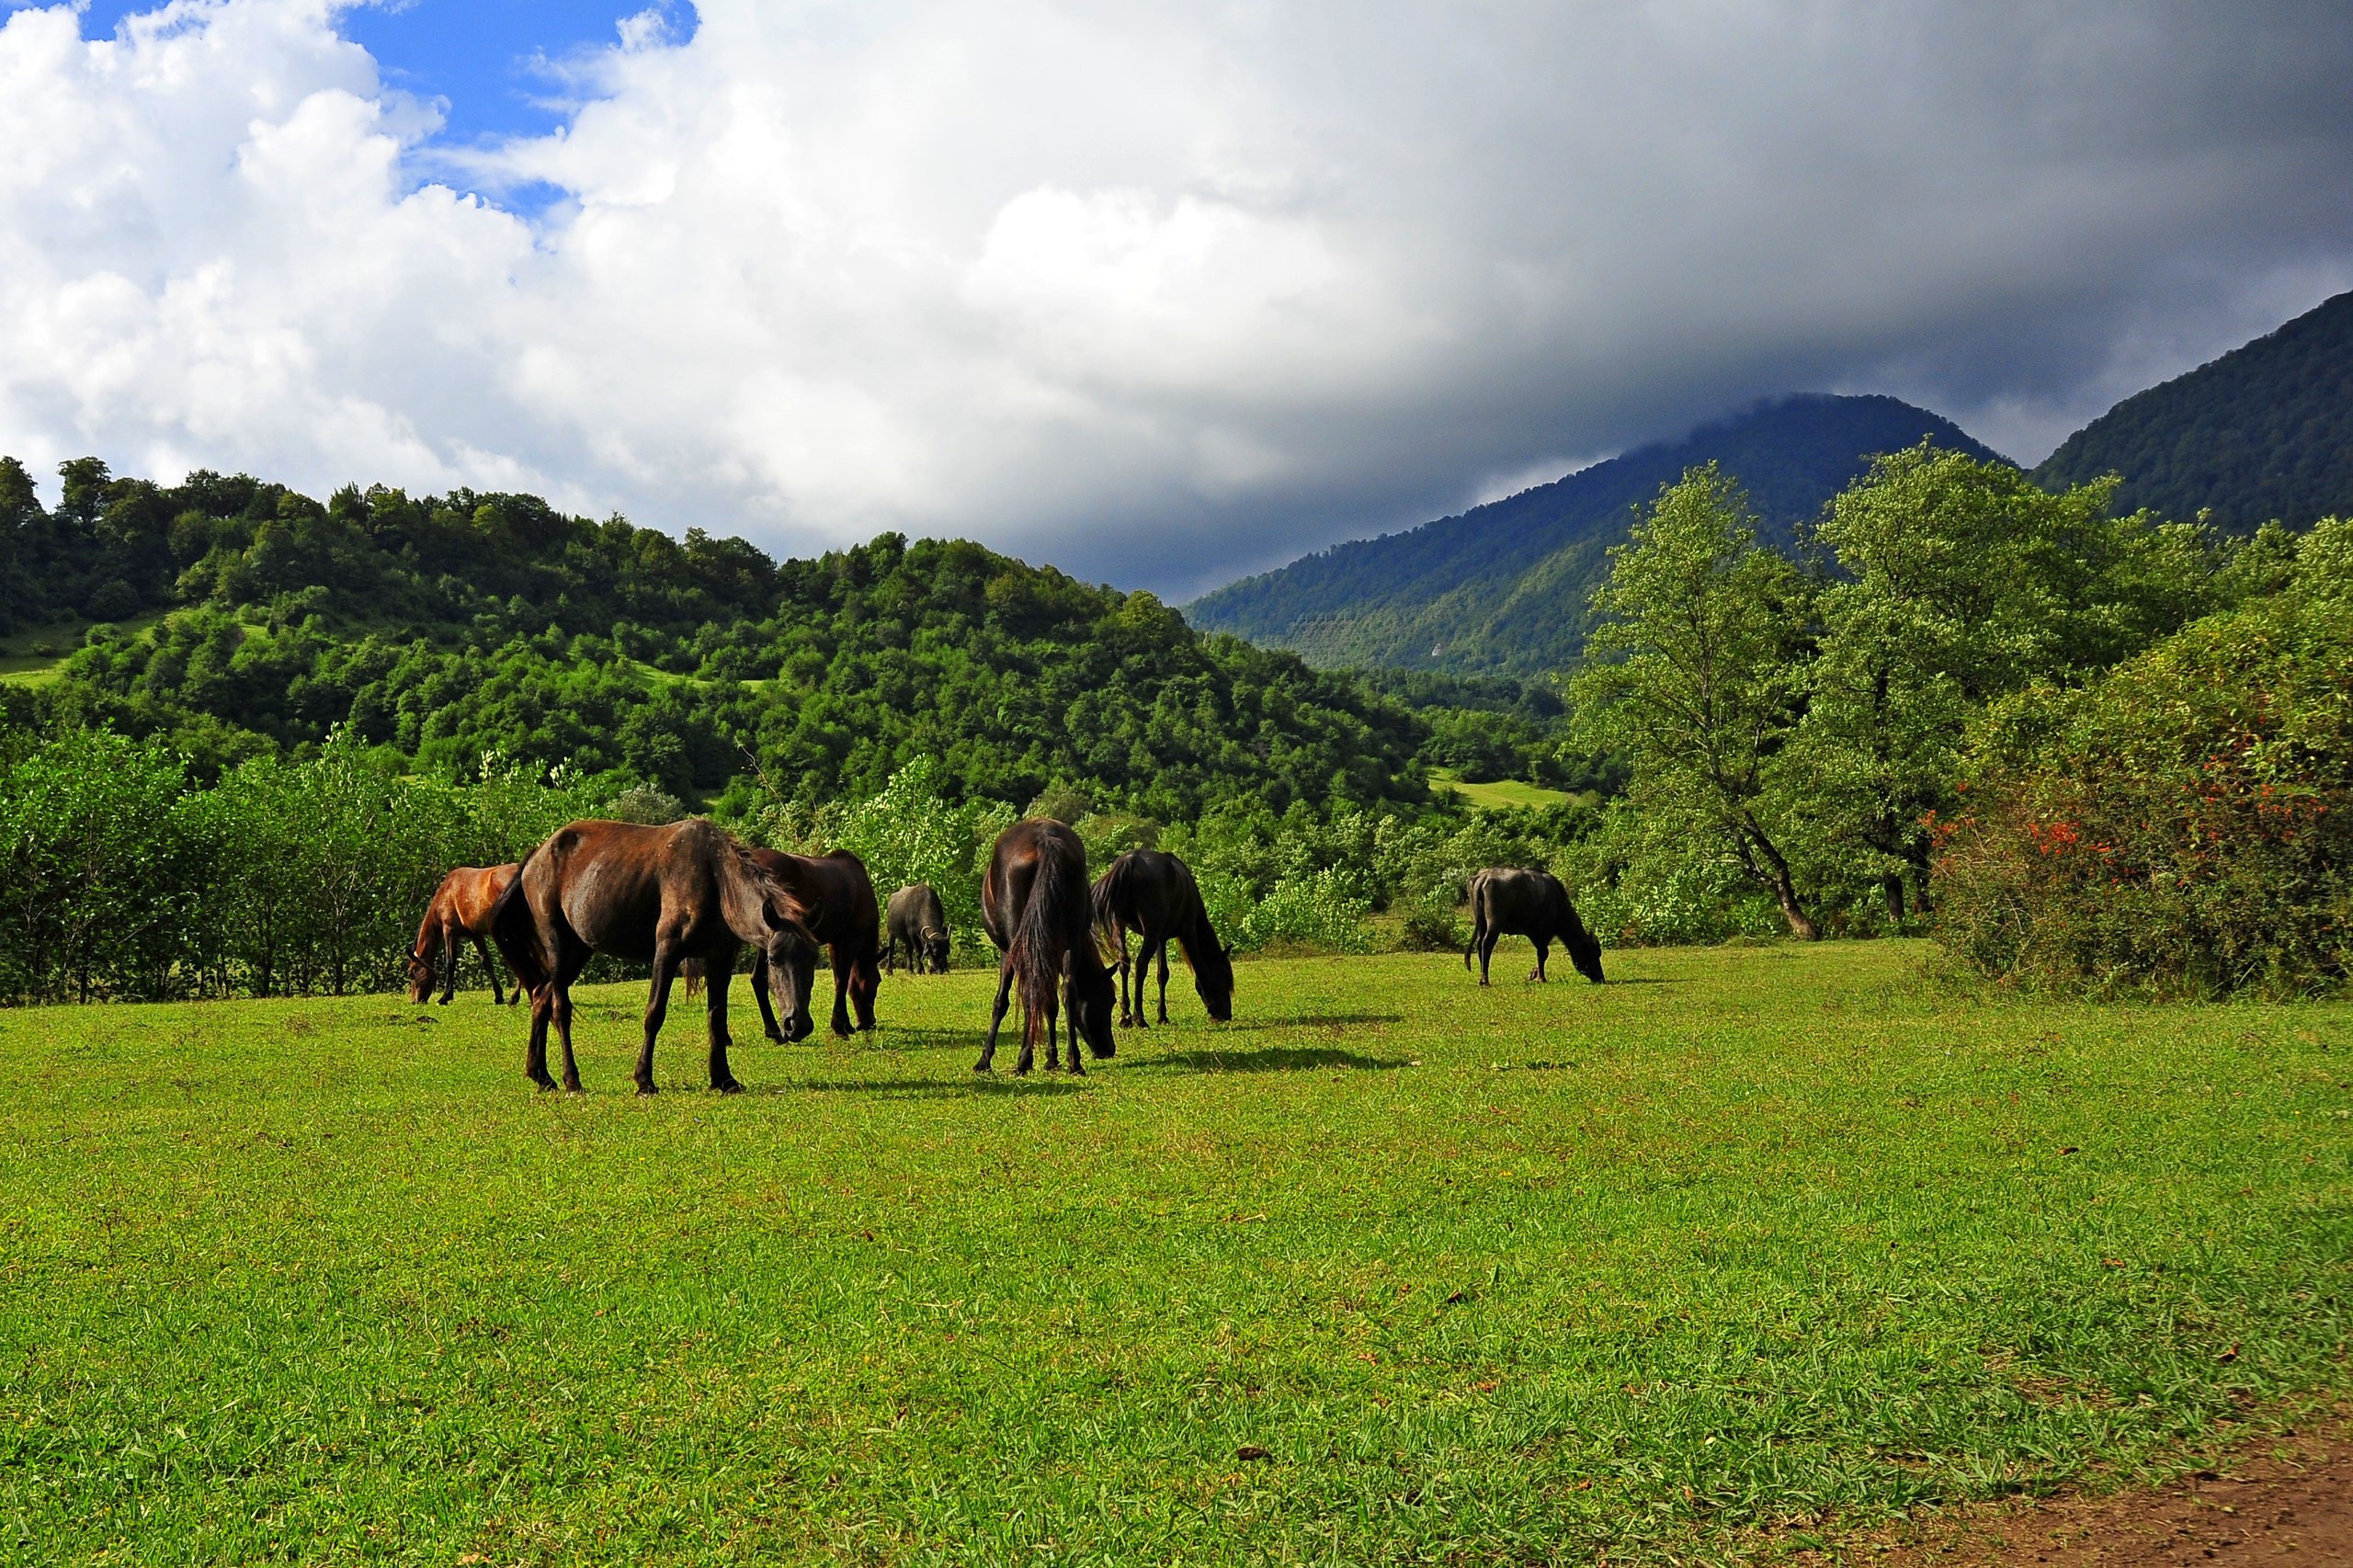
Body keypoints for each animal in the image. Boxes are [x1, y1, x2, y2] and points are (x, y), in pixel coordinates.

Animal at [409, 861, 529, 1007]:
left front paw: (445, 997)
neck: (446, 892)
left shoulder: (449, 931)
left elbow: (450, 963)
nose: (414, 1001)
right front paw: (498, 996)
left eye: (411, 973)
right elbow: (487, 963)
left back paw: (515, 997)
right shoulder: (476, 935)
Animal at [484, 819, 818, 1087]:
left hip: (578, 952)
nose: (798, 1025)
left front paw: (723, 1079)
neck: (714, 877)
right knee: (559, 1009)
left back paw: (540, 1074)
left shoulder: (720, 959)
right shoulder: (667, 952)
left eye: (813, 961)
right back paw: (571, 1079)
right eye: (773, 959)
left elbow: (717, 1018)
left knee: (541, 998)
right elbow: (654, 1013)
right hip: (559, 948)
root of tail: (536, 856)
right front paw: (644, 1079)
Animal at [978, 810, 1115, 1068]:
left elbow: (1002, 1001)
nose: (1108, 1049)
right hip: (1069, 941)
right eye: (1110, 1000)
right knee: (1067, 991)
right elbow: (1051, 1002)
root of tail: (1045, 840)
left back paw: (1024, 1059)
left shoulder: (1008, 951)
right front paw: (1053, 1058)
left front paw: (985, 1058)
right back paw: (1074, 1062)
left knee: (1030, 992)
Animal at [1086, 847, 1233, 1021]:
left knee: (1124, 963)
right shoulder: (1188, 931)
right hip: (1150, 932)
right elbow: (1197, 968)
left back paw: (1125, 1015)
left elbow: (1162, 974)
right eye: (1224, 978)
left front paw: (1162, 1016)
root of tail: (1130, 861)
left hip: (1119, 925)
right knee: (1141, 965)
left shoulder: (1161, 939)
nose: (1227, 1014)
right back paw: (1139, 1017)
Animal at [1459, 861, 1609, 983]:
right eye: (1593, 954)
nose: (1600, 978)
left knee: (1479, 944)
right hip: (1494, 922)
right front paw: (1541, 978)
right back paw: (1485, 980)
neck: (1557, 903)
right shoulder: (1543, 932)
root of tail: (1485, 876)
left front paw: (1534, 974)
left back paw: (1482, 976)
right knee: (1487, 944)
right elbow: (1543, 953)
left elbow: (1541, 953)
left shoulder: (1535, 933)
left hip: (1481, 922)